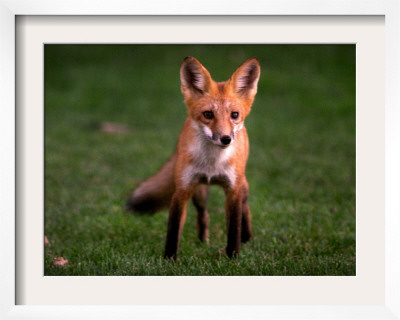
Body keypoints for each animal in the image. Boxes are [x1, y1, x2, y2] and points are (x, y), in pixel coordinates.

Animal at [126, 55, 260, 260]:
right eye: (208, 114)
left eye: (235, 115)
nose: (226, 139)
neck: (213, 163)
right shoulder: (182, 190)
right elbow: (174, 231)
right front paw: (169, 260)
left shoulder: (233, 191)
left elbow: (233, 230)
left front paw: (233, 257)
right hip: (200, 192)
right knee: (204, 216)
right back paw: (202, 241)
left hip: (242, 187)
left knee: (245, 210)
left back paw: (247, 238)